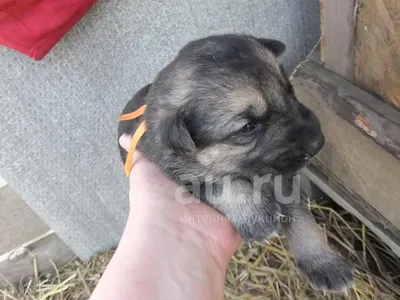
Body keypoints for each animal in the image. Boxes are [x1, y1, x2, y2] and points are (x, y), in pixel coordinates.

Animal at [118, 34, 354, 292]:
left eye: (290, 90)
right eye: (248, 127)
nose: (318, 142)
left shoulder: (283, 177)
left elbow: (302, 217)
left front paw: (324, 263)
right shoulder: (179, 172)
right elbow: (220, 183)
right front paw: (254, 216)